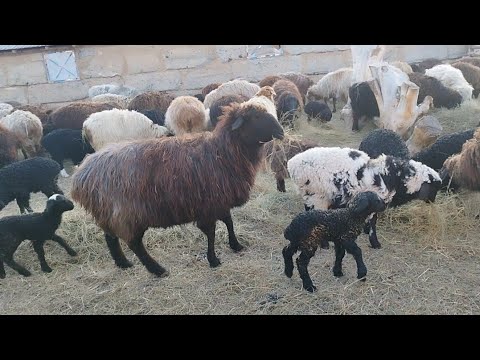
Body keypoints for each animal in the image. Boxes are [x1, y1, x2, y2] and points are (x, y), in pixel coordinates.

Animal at [71, 101, 284, 276]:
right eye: (255, 117)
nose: (281, 131)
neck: (223, 152)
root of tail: (82, 176)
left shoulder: (220, 201)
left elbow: (229, 223)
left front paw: (236, 245)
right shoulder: (209, 205)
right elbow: (212, 232)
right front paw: (213, 259)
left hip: (107, 213)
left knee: (110, 238)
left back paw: (123, 263)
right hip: (128, 214)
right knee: (134, 244)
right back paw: (157, 270)